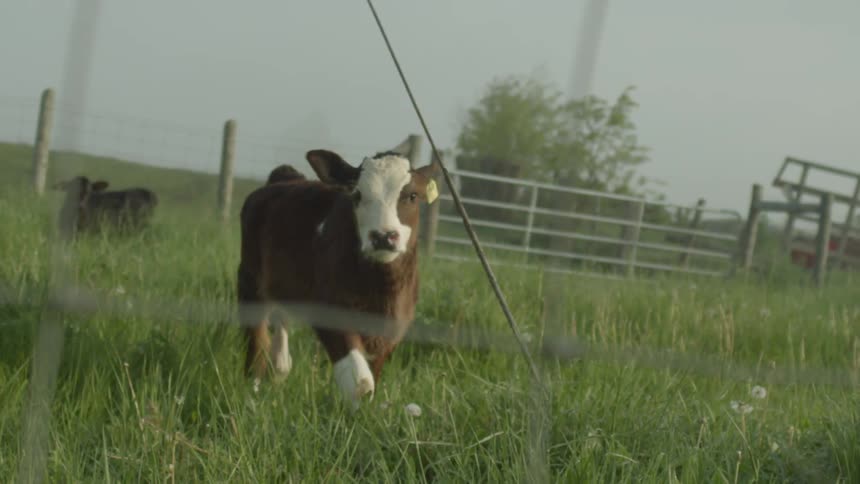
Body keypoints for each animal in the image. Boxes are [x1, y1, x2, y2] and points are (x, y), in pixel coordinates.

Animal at [237, 148, 438, 409]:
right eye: (358, 195)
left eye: (412, 195)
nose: (383, 236)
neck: (381, 289)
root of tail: (285, 178)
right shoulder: (329, 311)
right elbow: (361, 383)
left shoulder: (392, 328)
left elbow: (373, 377)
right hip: (250, 279)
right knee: (257, 342)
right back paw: (252, 394)